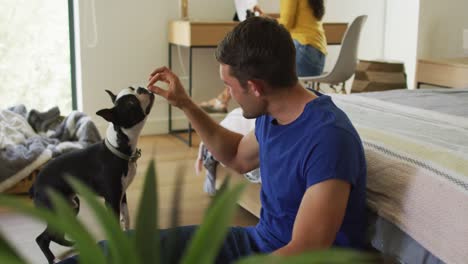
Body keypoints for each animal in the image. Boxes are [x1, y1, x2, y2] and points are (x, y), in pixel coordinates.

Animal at [30, 87, 154, 264]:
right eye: (131, 103)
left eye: (132, 89)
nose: (142, 88)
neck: (118, 150)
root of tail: (35, 184)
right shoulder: (112, 200)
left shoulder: (122, 195)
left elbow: (127, 218)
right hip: (56, 208)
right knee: (42, 238)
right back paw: (53, 259)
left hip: (71, 206)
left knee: (56, 235)